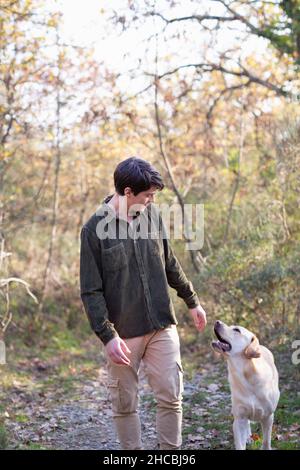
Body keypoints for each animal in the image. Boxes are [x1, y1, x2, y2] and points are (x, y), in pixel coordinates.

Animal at [212, 320, 280, 448]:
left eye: (236, 330)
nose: (217, 321)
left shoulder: (268, 417)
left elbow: (266, 441)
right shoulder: (239, 419)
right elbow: (240, 443)